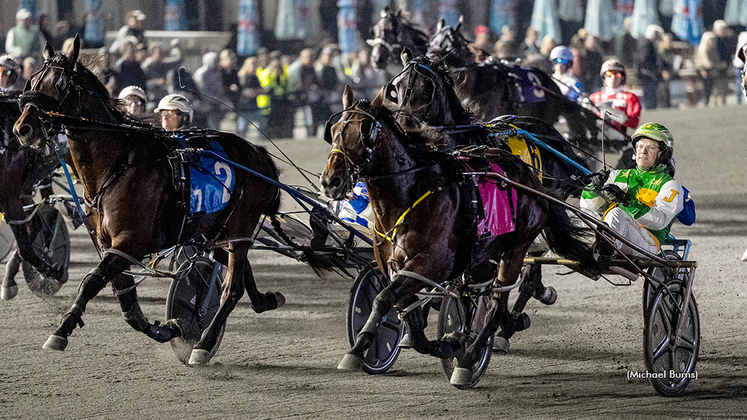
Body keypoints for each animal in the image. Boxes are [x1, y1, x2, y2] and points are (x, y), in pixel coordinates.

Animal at [320, 87, 596, 386]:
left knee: (498, 302)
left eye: (364, 132)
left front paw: (359, 348)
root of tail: (528, 174)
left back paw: (470, 357)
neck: (410, 194)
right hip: (480, 254)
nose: (330, 181)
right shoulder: (395, 267)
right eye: (333, 131)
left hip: (517, 246)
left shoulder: (428, 264)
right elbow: (405, 312)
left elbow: (384, 299)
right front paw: (442, 342)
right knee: (482, 290)